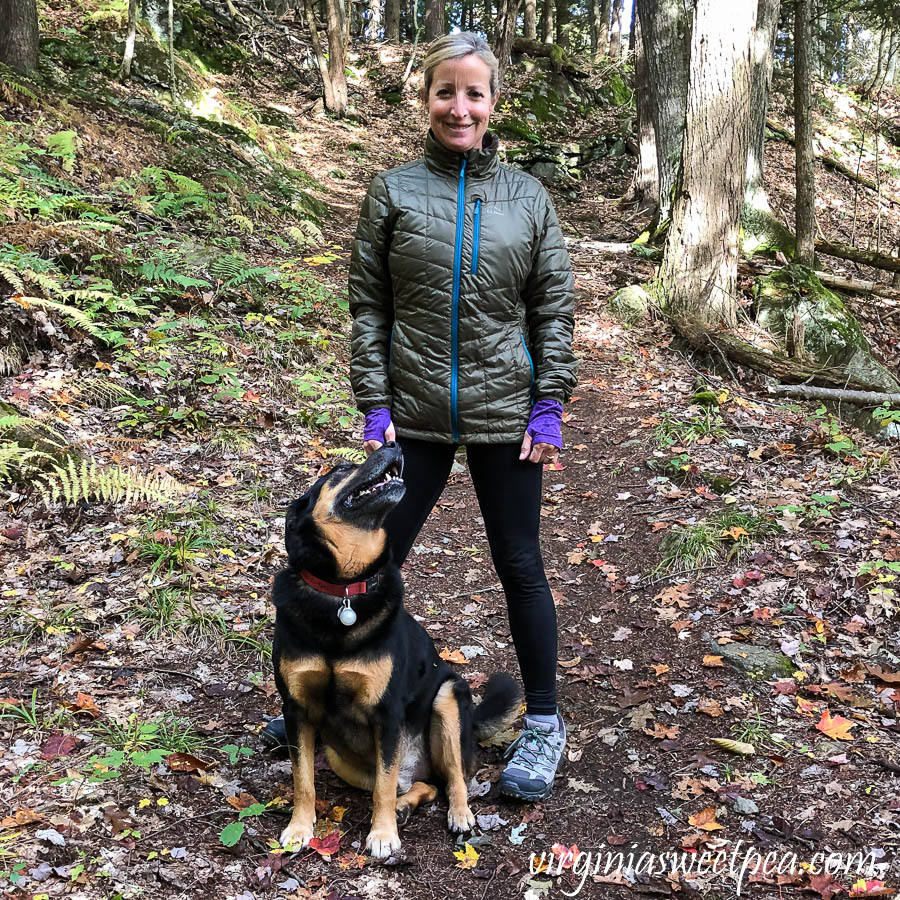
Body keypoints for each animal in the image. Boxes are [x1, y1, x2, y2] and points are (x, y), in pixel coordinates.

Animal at [270, 446, 516, 860]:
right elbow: (303, 779)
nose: (392, 446)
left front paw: (383, 835)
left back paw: (459, 814)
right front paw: (299, 828)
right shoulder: (297, 709)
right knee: (418, 785)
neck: (343, 589)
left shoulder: (386, 713)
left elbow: (383, 788)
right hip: (340, 757)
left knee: (450, 780)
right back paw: (406, 804)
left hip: (448, 698)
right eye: (340, 468)